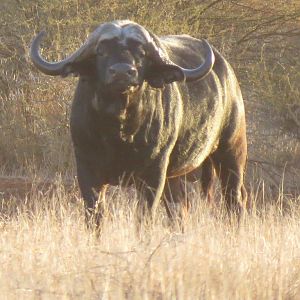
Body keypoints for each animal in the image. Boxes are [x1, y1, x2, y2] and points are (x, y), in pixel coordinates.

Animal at [29, 19, 246, 224]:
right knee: (179, 209)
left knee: (234, 200)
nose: (122, 72)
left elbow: (143, 216)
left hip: (232, 153)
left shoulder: (154, 173)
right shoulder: (87, 170)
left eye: (141, 53)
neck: (119, 131)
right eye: (101, 51)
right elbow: (95, 215)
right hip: (174, 177)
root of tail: (228, 75)